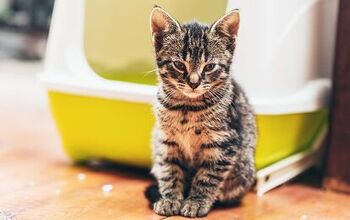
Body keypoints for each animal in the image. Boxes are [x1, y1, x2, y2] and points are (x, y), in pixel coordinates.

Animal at [148, 6, 258, 217]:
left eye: (210, 66)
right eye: (179, 65)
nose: (194, 82)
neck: (187, 107)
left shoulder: (224, 143)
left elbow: (207, 177)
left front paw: (196, 202)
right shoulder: (166, 141)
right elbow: (170, 171)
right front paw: (170, 199)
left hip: (244, 170)